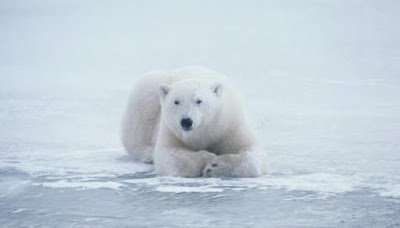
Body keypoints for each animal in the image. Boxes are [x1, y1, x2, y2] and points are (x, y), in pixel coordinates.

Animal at [120, 66, 268, 178]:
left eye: (198, 101)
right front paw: (207, 158)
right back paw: (148, 154)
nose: (186, 121)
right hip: (148, 92)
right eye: (176, 101)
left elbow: (251, 152)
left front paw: (215, 166)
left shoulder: (231, 124)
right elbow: (169, 155)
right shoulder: (172, 131)